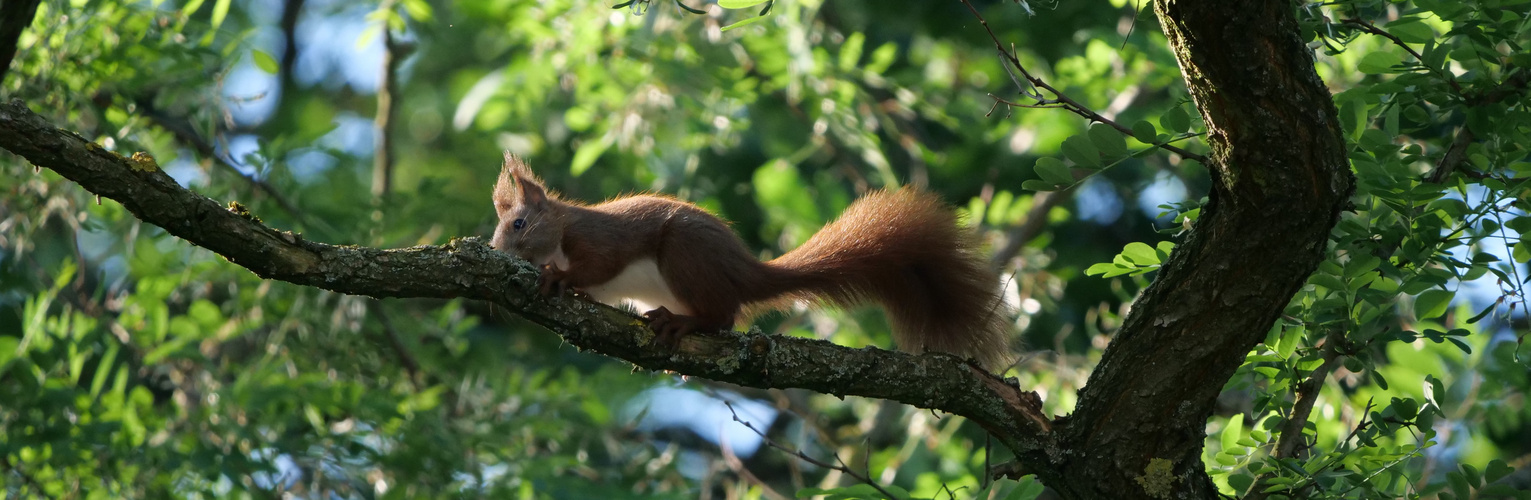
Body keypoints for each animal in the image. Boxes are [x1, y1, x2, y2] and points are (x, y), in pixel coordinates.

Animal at [492, 154, 1016, 370]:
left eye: (518, 224)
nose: (496, 252)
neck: (561, 230)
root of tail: (744, 272)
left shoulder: (598, 239)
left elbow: (597, 266)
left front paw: (557, 276)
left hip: (684, 256)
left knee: (722, 317)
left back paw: (683, 324)